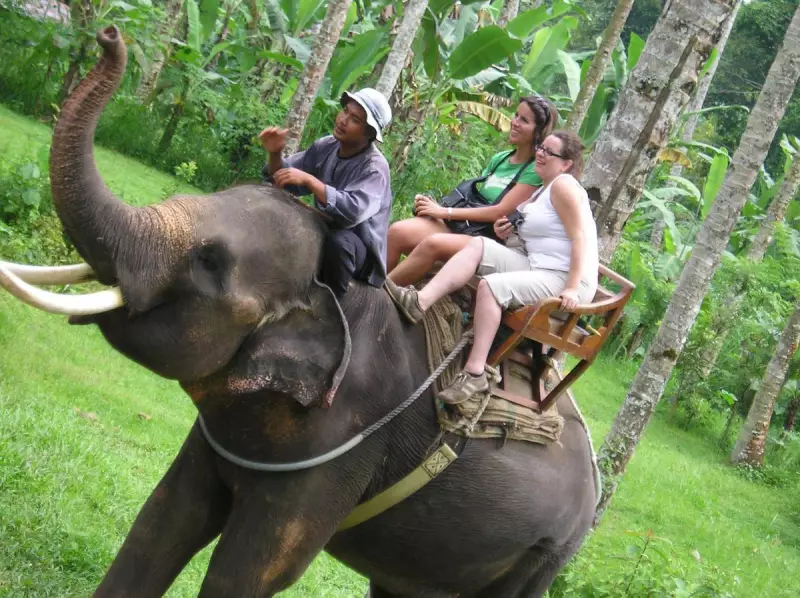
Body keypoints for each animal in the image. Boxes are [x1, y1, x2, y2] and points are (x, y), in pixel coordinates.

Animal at [0, 26, 598, 598]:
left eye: (210, 261)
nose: (107, 34)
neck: (336, 293)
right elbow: (164, 519)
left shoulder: (346, 437)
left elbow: (253, 570)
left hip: (549, 551)